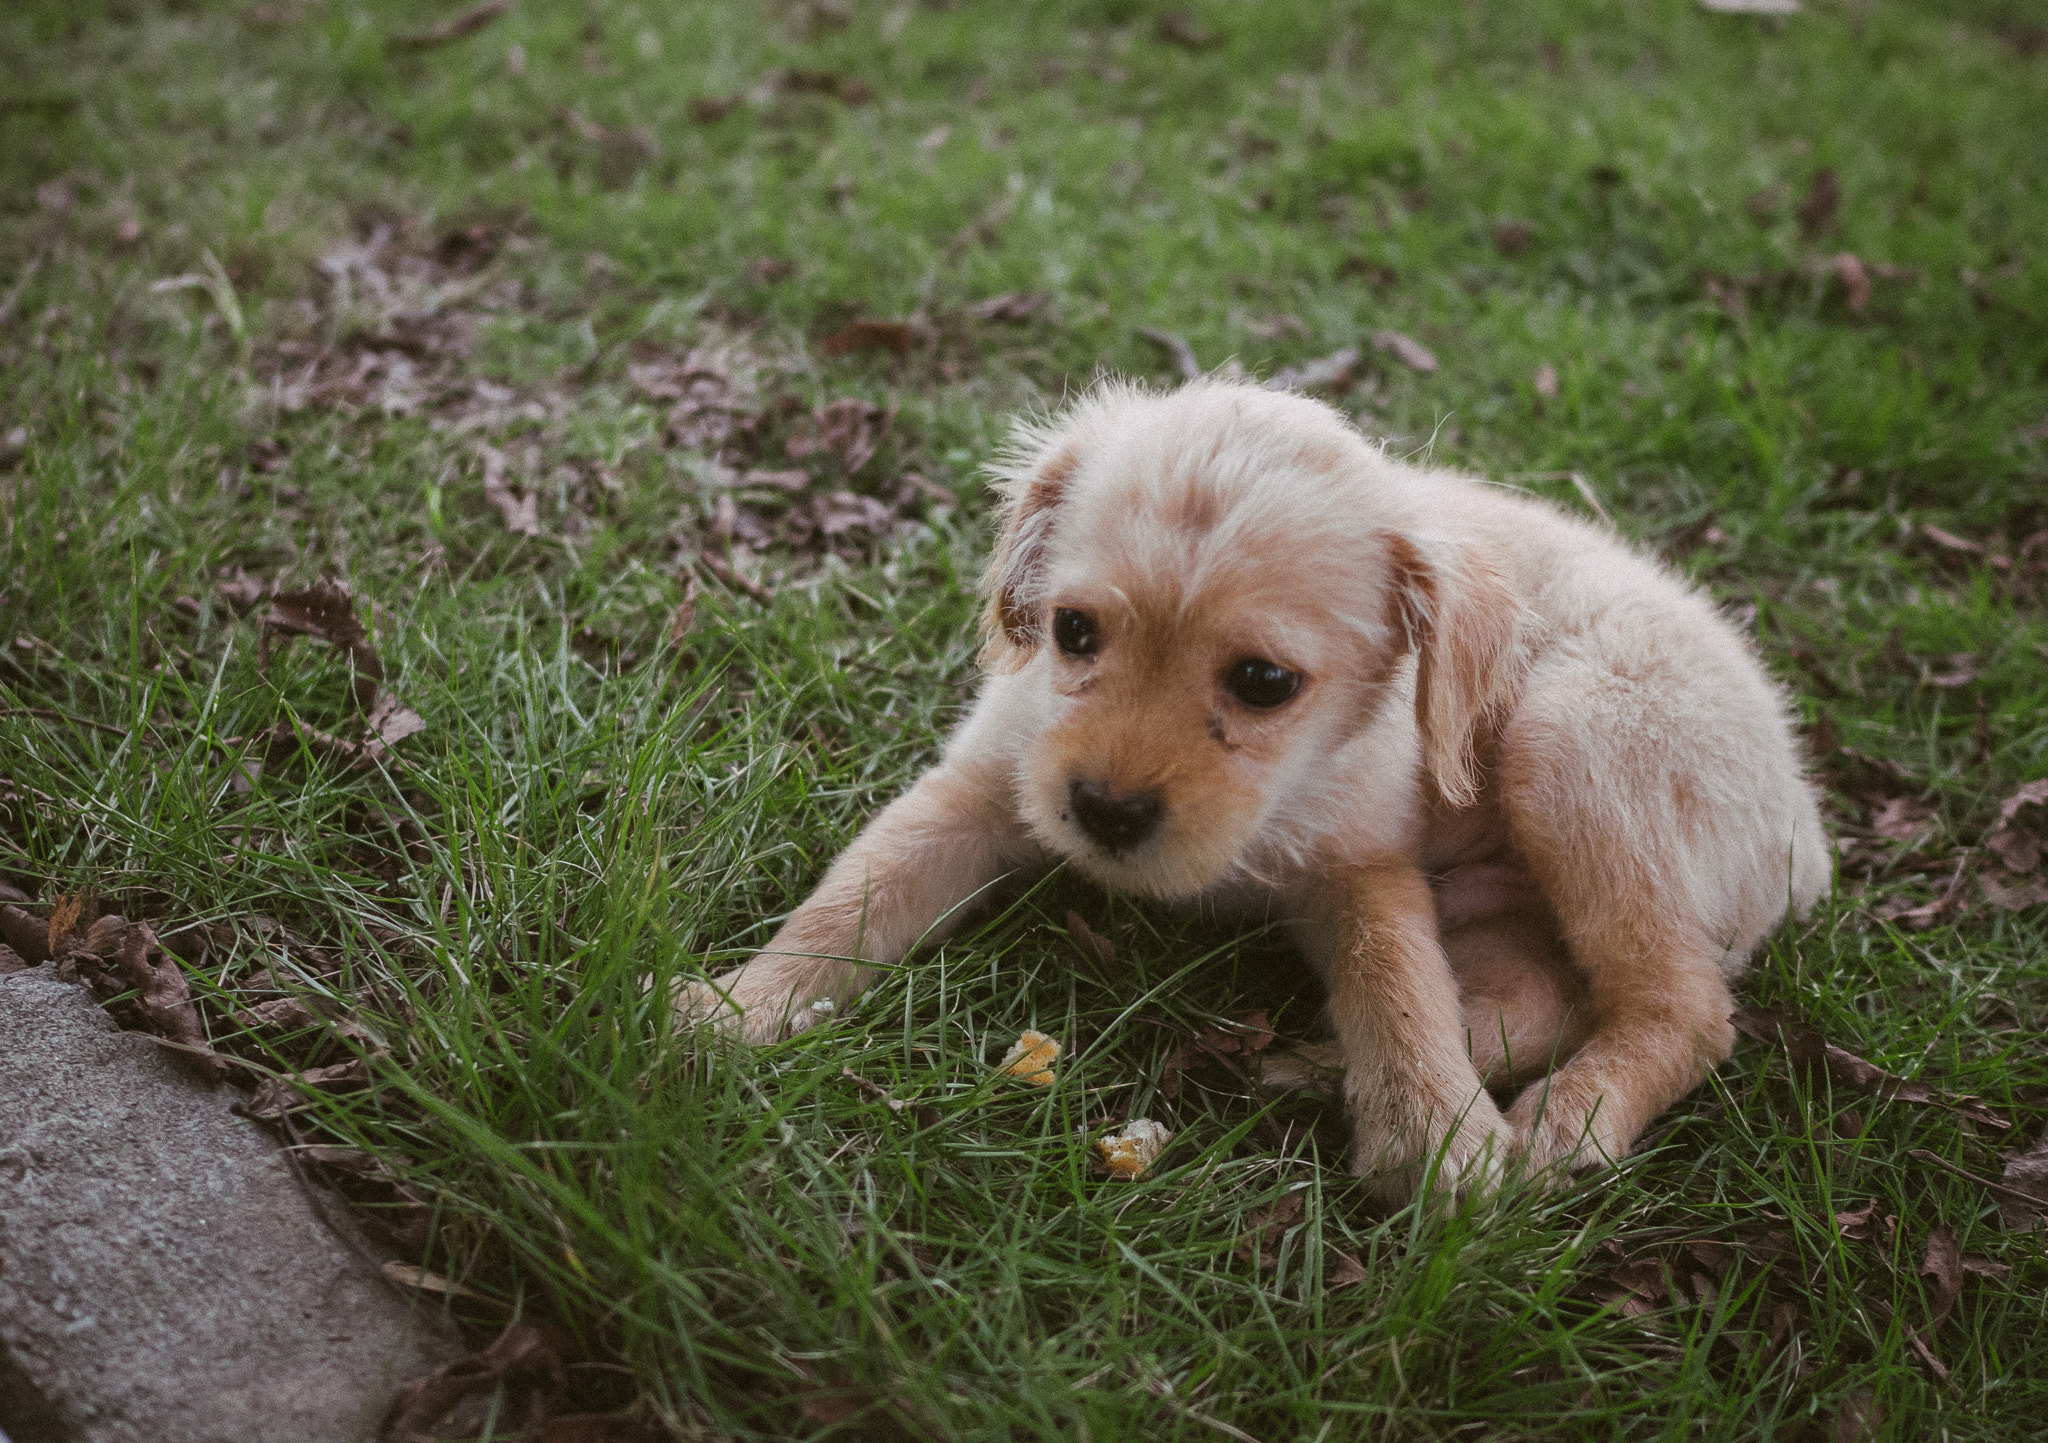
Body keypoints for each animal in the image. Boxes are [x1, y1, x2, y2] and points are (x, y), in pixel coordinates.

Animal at [684, 376, 1826, 1195]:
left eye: (1264, 683)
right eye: (1072, 632)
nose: (1103, 813)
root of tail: (1806, 831)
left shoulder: (1361, 866)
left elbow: (1394, 980)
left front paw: (1433, 1131)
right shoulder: (983, 786)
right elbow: (854, 897)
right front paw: (741, 1009)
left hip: (1574, 739)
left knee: (1684, 1012)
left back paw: (1562, 1121)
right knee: (1549, 996)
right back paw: (1320, 1067)